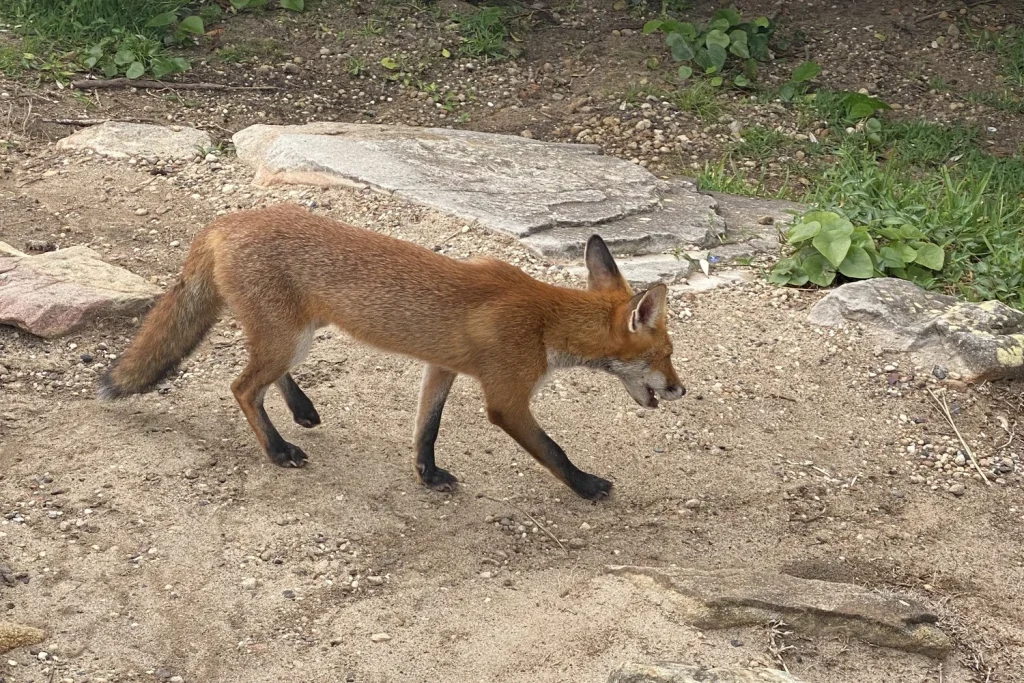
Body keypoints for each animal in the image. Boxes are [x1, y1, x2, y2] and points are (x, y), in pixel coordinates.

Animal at [98, 204, 685, 500]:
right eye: (666, 353)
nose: (681, 389)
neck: (543, 320)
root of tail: (224, 222)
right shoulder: (507, 399)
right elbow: (554, 451)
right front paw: (586, 486)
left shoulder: (442, 368)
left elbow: (428, 428)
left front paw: (427, 475)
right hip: (289, 339)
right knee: (243, 387)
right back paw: (278, 450)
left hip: (296, 337)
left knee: (266, 378)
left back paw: (301, 410)